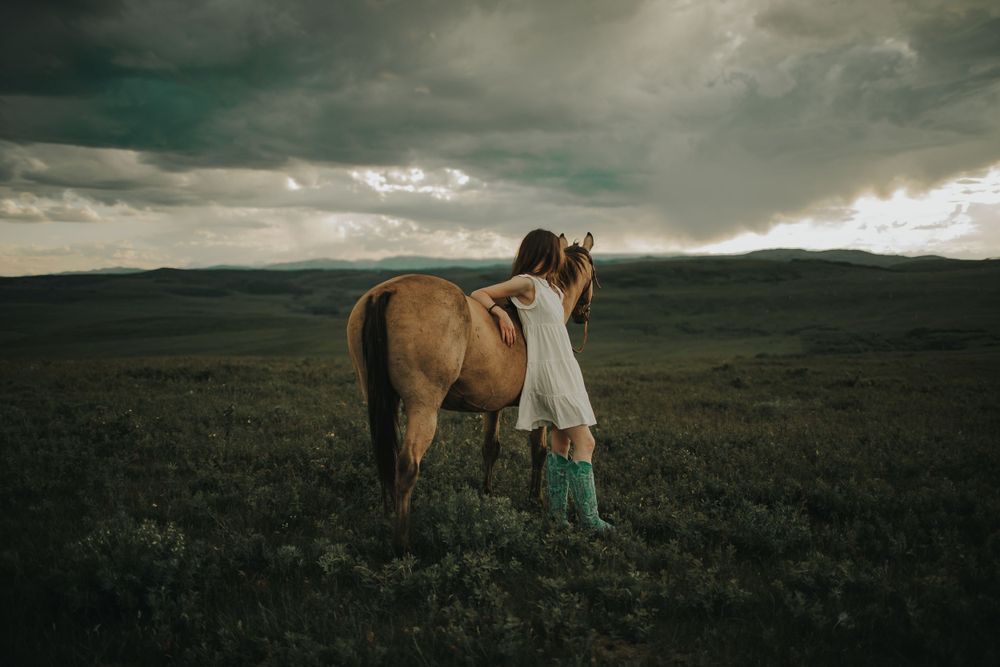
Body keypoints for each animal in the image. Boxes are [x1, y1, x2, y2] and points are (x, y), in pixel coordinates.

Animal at [346, 232, 599, 552]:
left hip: (380, 401)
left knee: (386, 458)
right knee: (406, 466)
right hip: (422, 407)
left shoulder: (492, 405)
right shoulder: (539, 410)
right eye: (595, 274)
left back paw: (387, 516)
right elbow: (539, 452)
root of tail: (387, 291)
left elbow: (490, 448)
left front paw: (486, 492)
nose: (584, 314)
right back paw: (402, 545)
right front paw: (536, 499)